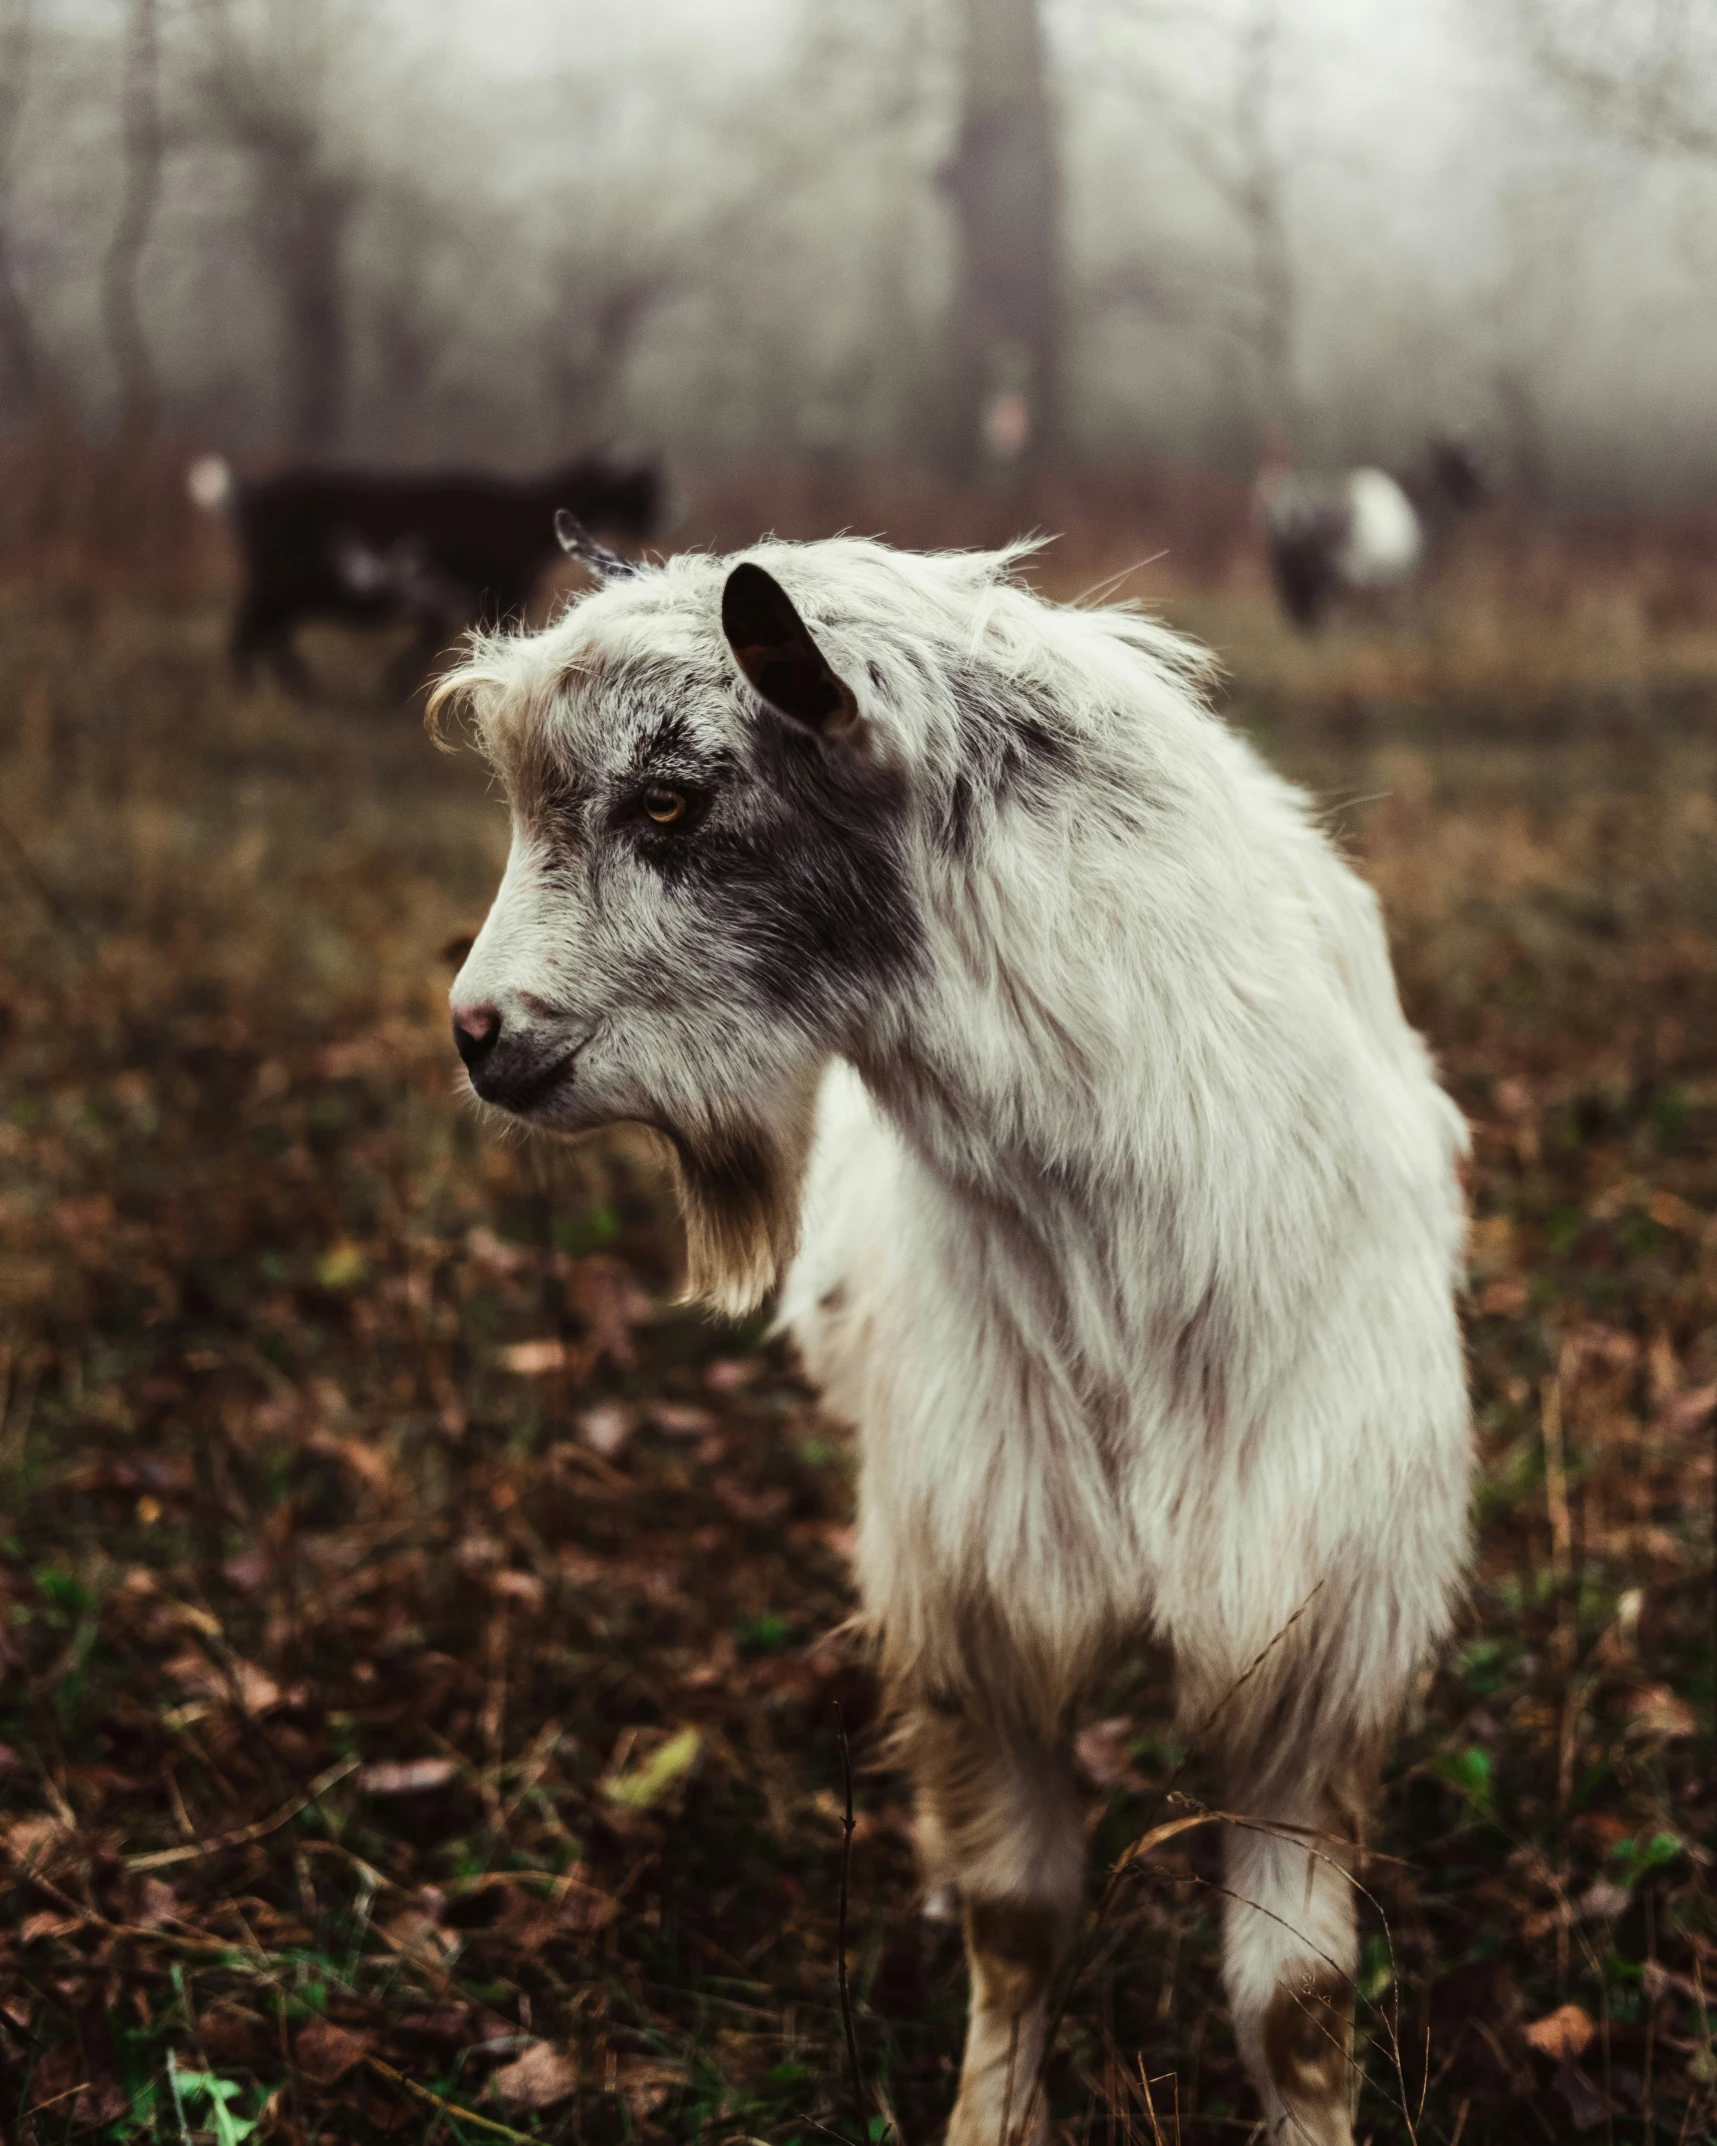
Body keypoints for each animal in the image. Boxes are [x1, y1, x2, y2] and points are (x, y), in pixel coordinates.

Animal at [435, 532, 1468, 2146]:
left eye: (670, 798)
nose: (479, 1031)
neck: (1129, 1259)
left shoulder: (1311, 1631)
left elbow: (1294, 2005)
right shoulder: (981, 1596)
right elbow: (1018, 1918)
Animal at [1244, 429, 1485, 626]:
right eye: (1462, 465)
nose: (1484, 498)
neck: (1417, 500)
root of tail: (1287, 505)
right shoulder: (1398, 578)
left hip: (1288, 564)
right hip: (1325, 567)